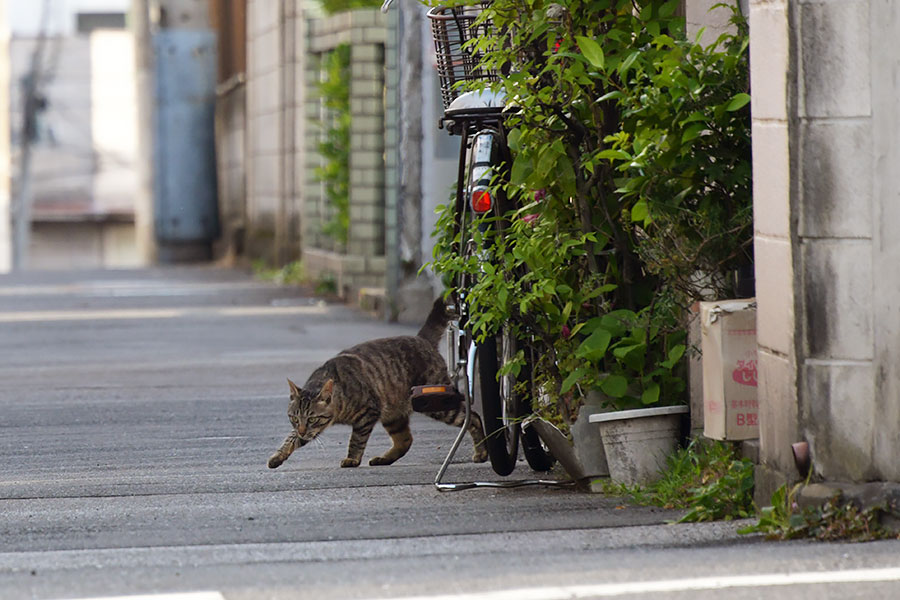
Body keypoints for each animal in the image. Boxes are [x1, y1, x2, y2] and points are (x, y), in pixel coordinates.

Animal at [268, 300, 488, 468]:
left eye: (312, 419)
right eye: (294, 418)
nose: (302, 429)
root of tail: (422, 339)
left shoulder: (367, 412)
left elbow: (356, 440)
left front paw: (352, 459)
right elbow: (291, 438)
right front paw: (278, 455)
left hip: (437, 403)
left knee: (473, 417)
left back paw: (482, 453)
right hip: (394, 415)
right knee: (405, 440)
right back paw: (383, 459)